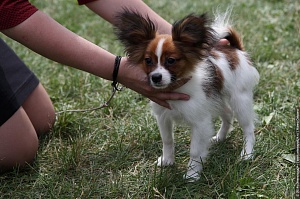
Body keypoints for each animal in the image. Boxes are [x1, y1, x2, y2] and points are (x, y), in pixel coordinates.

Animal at [113, 8, 258, 180]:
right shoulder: (163, 116)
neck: (175, 89)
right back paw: (220, 137)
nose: (156, 77)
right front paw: (167, 161)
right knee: (228, 114)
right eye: (148, 61)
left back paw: (247, 153)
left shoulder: (200, 121)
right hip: (215, 98)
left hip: (240, 99)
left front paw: (192, 174)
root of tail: (235, 49)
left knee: (248, 127)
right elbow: (167, 140)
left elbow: (195, 151)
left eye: (171, 60)